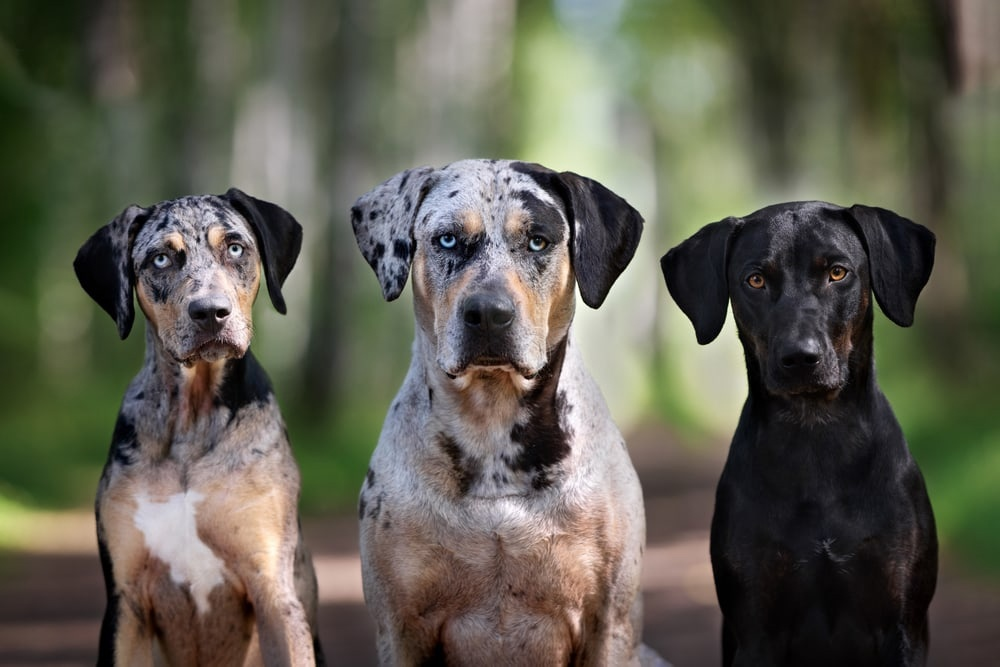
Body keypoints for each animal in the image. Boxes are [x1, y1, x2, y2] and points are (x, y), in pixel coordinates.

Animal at [74, 189, 324, 667]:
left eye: (235, 248)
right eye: (160, 259)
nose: (210, 313)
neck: (192, 418)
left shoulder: (273, 590)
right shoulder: (126, 603)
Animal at [354, 159, 672, 664]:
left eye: (538, 241)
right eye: (447, 239)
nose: (488, 313)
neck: (492, 424)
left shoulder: (610, 622)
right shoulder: (400, 626)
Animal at [664, 204, 936, 667]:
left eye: (838, 273)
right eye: (755, 279)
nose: (800, 357)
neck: (816, 436)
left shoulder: (903, 625)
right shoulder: (755, 631)